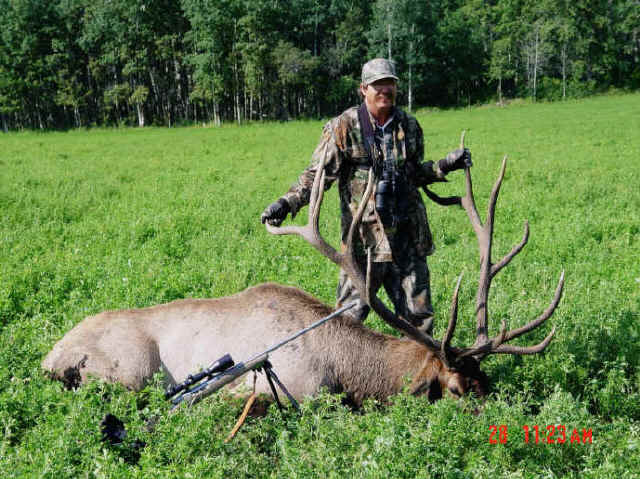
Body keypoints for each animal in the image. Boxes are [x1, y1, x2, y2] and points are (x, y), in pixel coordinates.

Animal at [42, 135, 564, 407]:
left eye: (487, 383)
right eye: (458, 391)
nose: (513, 420)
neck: (347, 372)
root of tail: (50, 356)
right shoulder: (274, 388)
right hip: (128, 372)